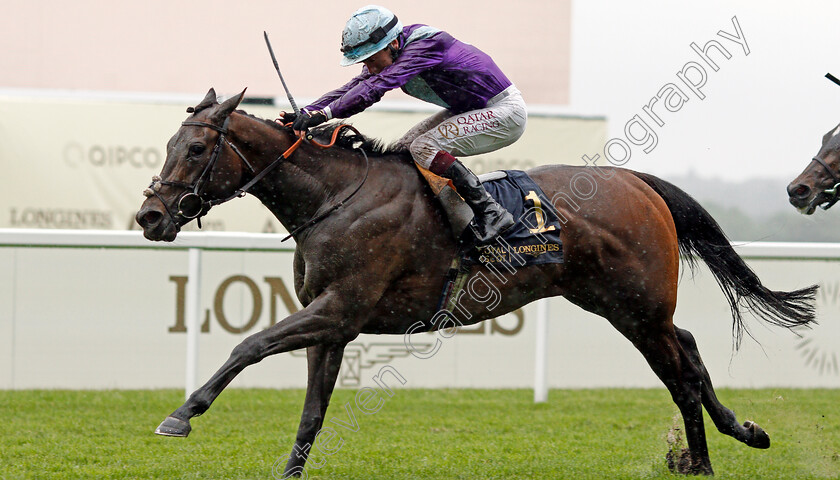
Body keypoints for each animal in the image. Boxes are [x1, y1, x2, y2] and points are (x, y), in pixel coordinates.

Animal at [136, 90, 812, 476]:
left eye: (194, 149)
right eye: (168, 142)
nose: (150, 216)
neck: (335, 198)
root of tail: (637, 181)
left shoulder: (339, 308)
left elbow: (247, 345)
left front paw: (181, 414)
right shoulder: (334, 326)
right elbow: (310, 416)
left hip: (636, 308)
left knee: (681, 374)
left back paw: (702, 460)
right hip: (619, 305)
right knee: (690, 352)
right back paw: (739, 433)